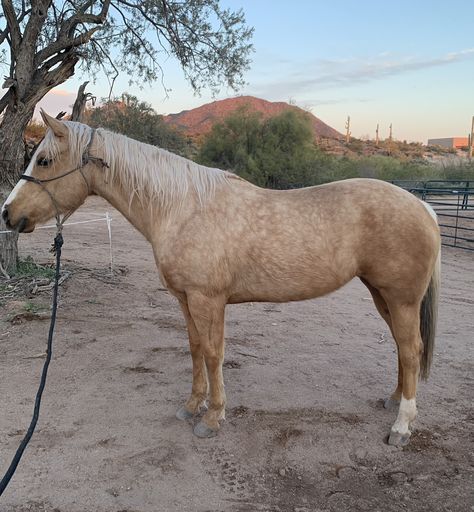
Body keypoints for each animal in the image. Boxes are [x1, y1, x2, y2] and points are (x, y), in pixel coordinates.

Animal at [0, 112, 440, 444]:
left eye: (43, 160)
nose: (8, 213)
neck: (182, 208)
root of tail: (422, 206)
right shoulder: (185, 299)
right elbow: (195, 349)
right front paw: (192, 406)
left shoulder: (207, 298)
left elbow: (214, 354)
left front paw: (212, 418)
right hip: (383, 295)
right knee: (403, 350)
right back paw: (394, 401)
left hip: (400, 298)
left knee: (410, 350)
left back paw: (402, 427)